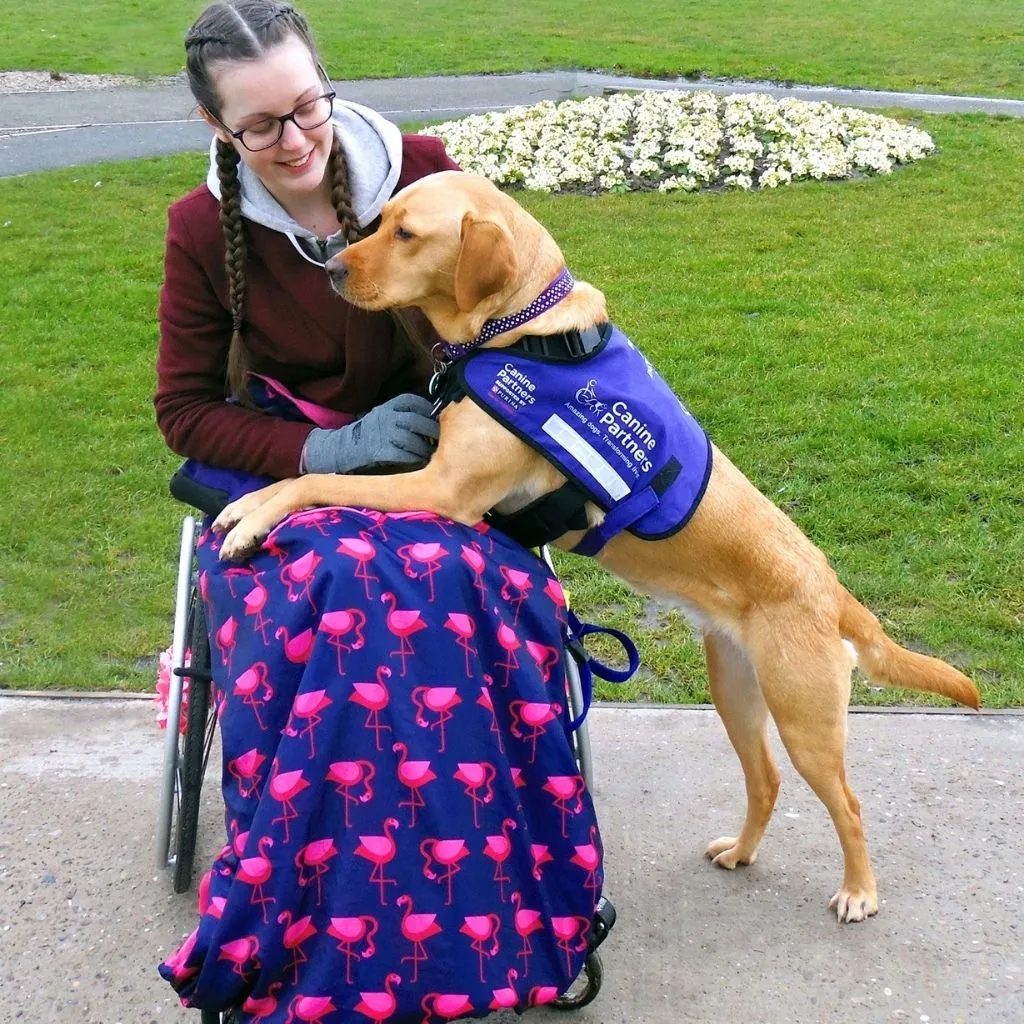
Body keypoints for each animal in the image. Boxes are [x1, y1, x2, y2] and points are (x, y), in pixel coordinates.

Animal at [214, 167, 974, 921]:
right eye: (380, 223)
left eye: (406, 234)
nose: (333, 270)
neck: (519, 330)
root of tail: (835, 590)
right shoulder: (426, 471)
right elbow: (323, 471)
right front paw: (245, 505)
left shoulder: (445, 491)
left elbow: (316, 481)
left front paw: (253, 517)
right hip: (736, 692)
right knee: (766, 781)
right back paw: (742, 851)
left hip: (805, 716)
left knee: (847, 802)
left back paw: (859, 891)